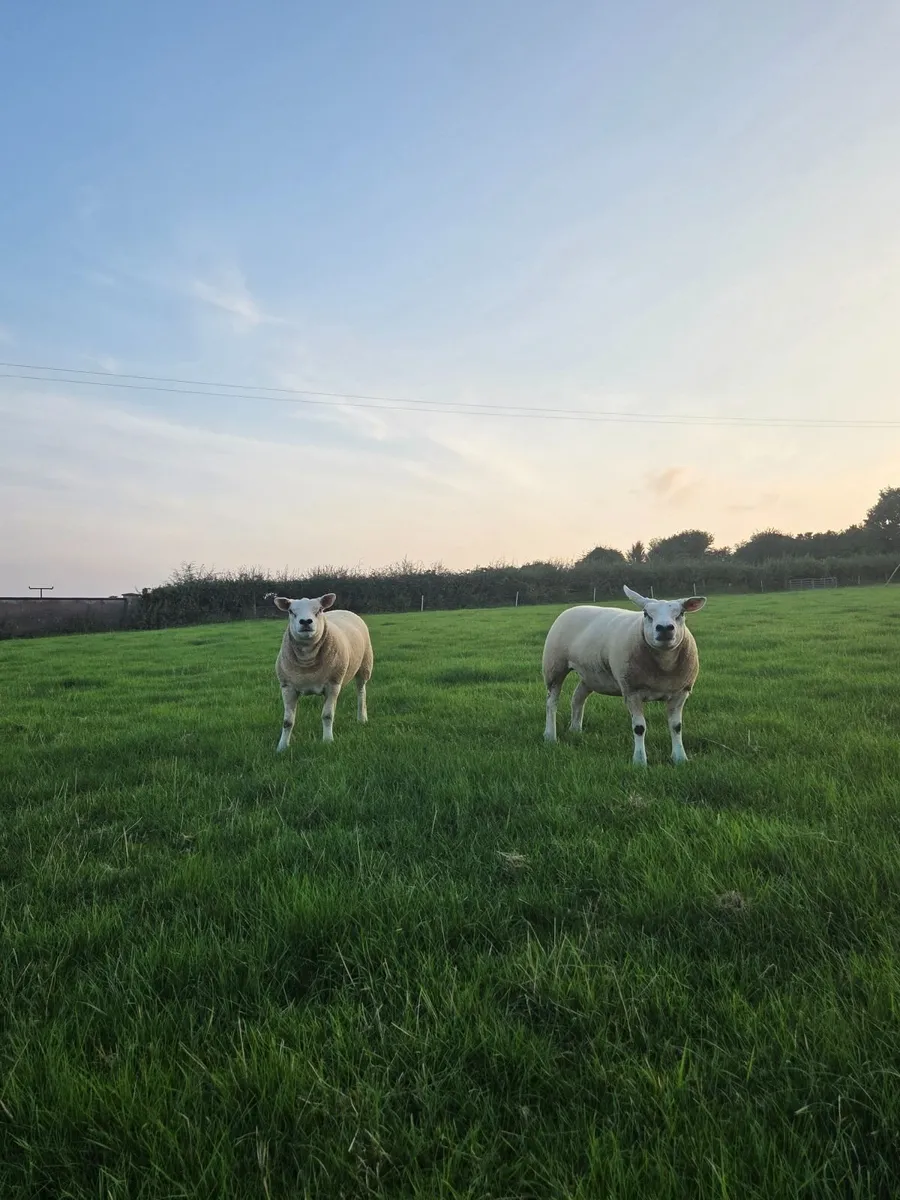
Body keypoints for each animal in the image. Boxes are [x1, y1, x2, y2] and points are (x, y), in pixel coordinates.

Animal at [270, 593, 373, 749]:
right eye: (291, 611)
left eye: (319, 610)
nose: (305, 621)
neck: (307, 662)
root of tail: (343, 610)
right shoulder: (287, 687)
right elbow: (287, 722)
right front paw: (282, 747)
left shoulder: (332, 684)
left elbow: (327, 715)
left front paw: (328, 741)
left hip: (364, 665)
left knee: (361, 693)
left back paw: (362, 718)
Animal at [542, 585, 707, 766]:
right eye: (646, 614)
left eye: (681, 614)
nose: (664, 628)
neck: (664, 667)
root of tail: (573, 608)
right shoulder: (631, 691)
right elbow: (639, 728)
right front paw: (640, 761)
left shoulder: (680, 692)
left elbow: (676, 726)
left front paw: (680, 758)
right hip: (554, 665)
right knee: (551, 703)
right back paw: (550, 736)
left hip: (590, 675)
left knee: (577, 698)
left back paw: (575, 730)